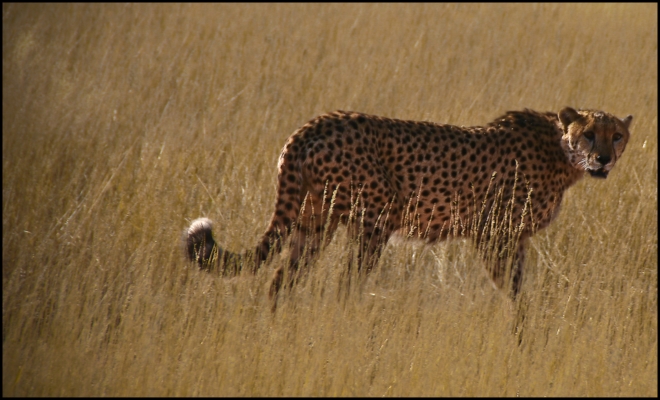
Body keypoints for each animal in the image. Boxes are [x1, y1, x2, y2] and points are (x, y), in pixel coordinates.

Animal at [186, 108, 636, 302]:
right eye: (589, 133)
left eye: (617, 135)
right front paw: (522, 331)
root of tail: (316, 122)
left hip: (314, 220)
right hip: (374, 217)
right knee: (344, 285)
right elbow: (512, 289)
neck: (561, 150)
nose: (603, 159)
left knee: (282, 279)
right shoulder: (495, 234)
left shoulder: (514, 238)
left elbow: (517, 287)